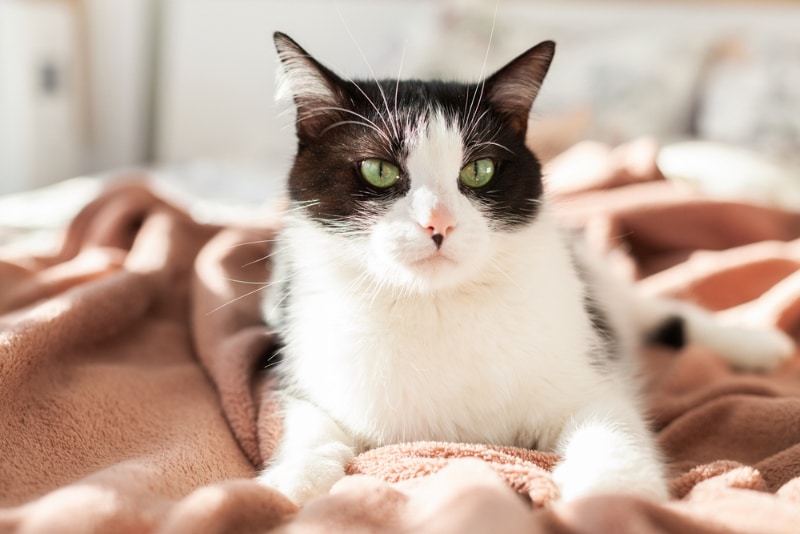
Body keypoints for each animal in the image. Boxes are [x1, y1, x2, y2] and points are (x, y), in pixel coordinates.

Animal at [258, 31, 792, 508]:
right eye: (379, 170)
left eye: (479, 171)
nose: (438, 222)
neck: (435, 305)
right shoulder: (301, 368)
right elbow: (309, 425)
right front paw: (289, 481)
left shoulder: (585, 377)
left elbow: (611, 427)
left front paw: (612, 498)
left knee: (654, 311)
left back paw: (756, 344)